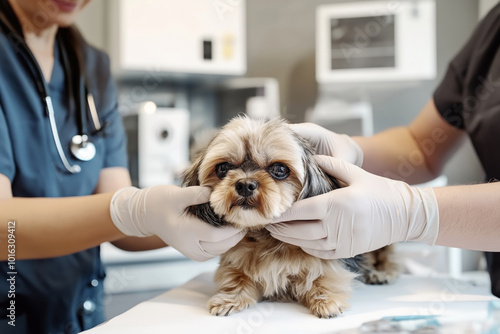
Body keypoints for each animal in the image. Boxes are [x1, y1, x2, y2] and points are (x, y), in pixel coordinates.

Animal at [184, 117, 402, 318]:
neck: (265, 237)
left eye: (280, 170)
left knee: (386, 255)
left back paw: (381, 273)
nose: (245, 185)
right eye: (223, 168)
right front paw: (230, 298)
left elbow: (323, 275)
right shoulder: (235, 260)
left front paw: (327, 301)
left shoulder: (327, 255)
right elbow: (235, 276)